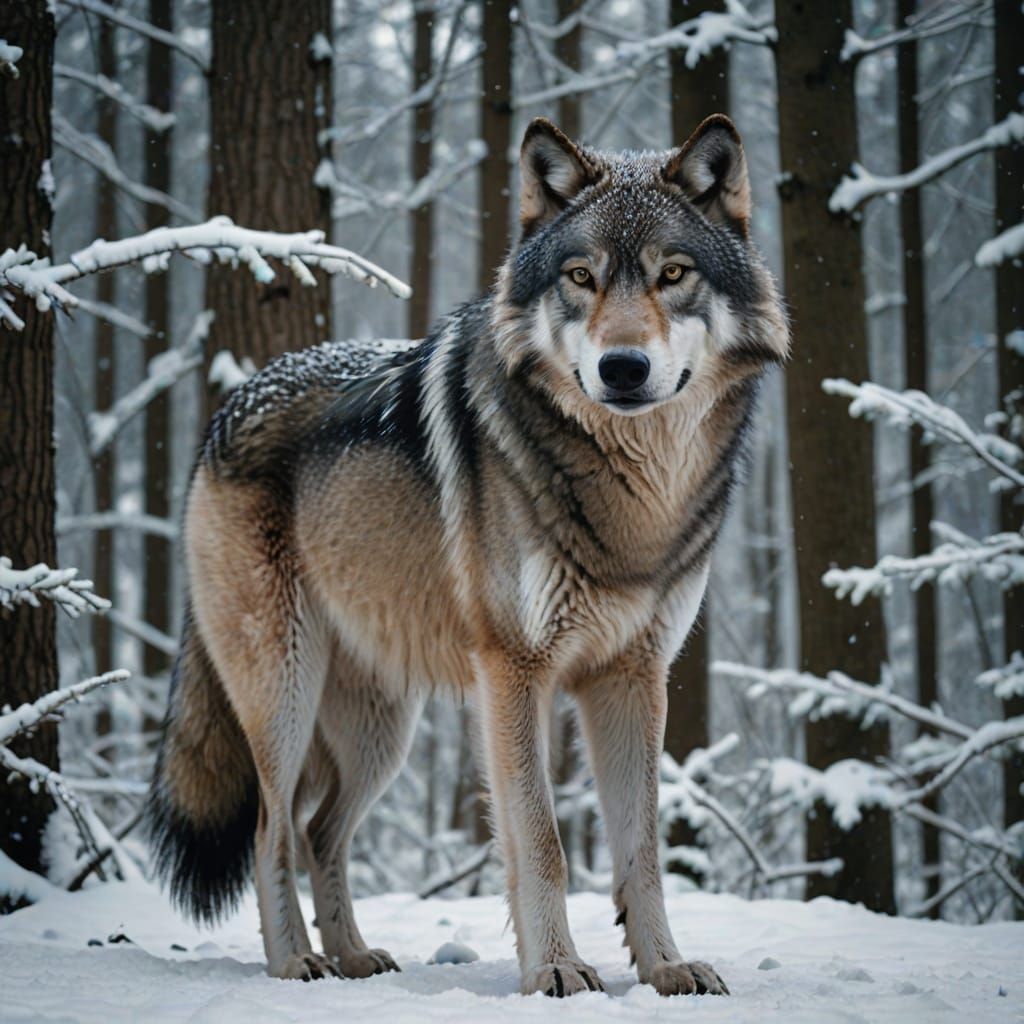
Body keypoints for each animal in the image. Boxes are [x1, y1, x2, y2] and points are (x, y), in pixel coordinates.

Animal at [146, 114, 788, 997]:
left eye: (673, 275)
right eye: (581, 277)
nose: (623, 368)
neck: (634, 497)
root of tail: (227, 406)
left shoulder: (633, 676)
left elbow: (642, 848)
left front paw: (665, 968)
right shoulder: (513, 671)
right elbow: (543, 843)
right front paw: (555, 970)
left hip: (381, 732)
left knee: (320, 830)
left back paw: (354, 956)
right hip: (286, 690)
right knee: (270, 828)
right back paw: (297, 962)